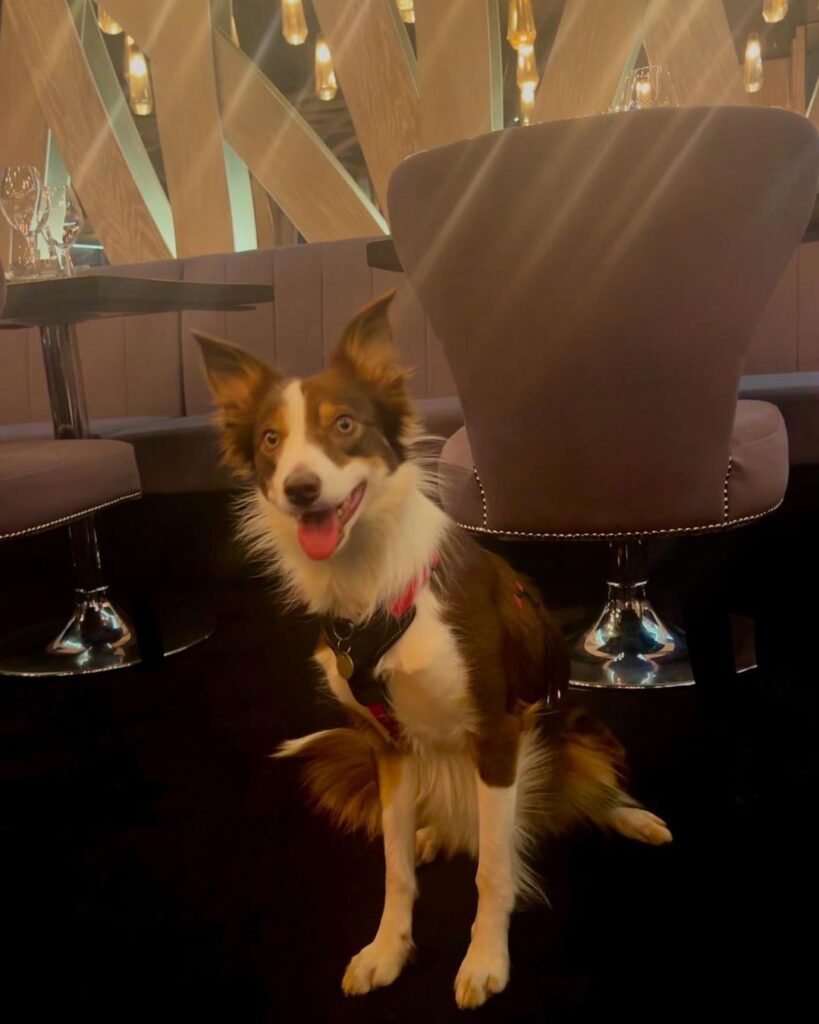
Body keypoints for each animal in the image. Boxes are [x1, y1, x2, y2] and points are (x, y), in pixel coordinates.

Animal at [193, 292, 671, 1011]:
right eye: (270, 440)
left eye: (344, 425)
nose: (301, 489)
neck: (372, 586)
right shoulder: (387, 743)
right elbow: (392, 868)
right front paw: (386, 950)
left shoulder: (499, 732)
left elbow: (494, 872)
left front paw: (485, 959)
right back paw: (431, 835)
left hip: (578, 726)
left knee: (583, 789)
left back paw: (632, 818)